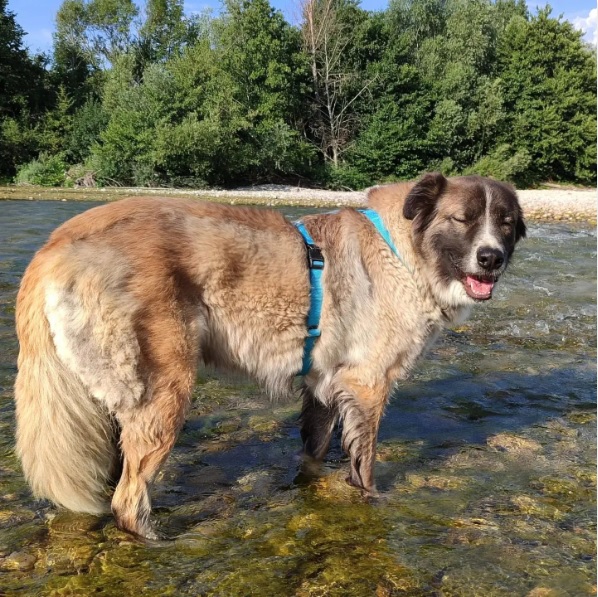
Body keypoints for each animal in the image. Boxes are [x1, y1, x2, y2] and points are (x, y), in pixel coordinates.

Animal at [14, 171, 528, 536]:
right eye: (462, 219)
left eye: (505, 224)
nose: (491, 258)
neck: (404, 251)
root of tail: (53, 247)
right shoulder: (367, 388)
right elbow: (364, 468)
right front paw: (372, 502)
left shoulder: (324, 386)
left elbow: (314, 450)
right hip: (166, 394)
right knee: (127, 501)